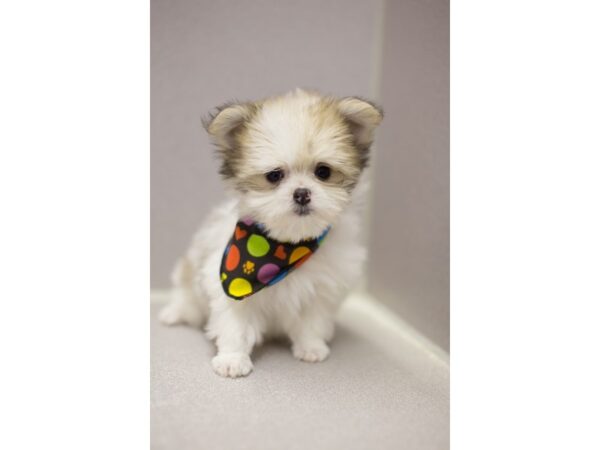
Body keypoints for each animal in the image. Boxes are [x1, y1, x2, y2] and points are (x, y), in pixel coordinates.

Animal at [159, 88, 382, 376]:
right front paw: (232, 359)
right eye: (274, 176)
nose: (302, 193)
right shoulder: (230, 285)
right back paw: (175, 312)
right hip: (188, 277)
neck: (285, 245)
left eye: (323, 171)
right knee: (185, 295)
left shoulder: (323, 288)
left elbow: (312, 321)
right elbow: (235, 325)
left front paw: (311, 347)